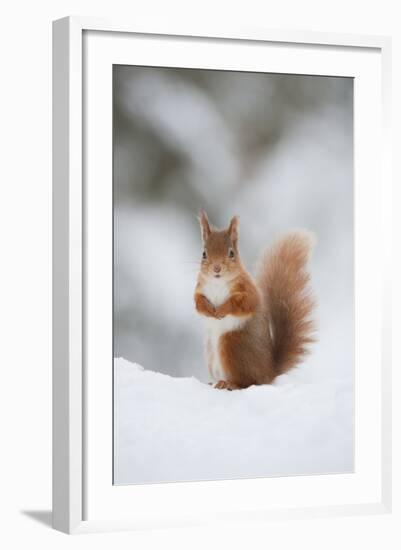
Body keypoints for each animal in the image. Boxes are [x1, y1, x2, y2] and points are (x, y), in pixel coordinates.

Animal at [194, 210, 316, 388]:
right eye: (204, 254)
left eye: (231, 253)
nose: (216, 268)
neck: (218, 282)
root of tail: (268, 373)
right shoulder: (199, 289)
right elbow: (198, 303)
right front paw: (209, 310)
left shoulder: (248, 291)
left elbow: (243, 304)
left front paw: (222, 309)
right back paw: (215, 383)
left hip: (231, 344)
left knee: (247, 382)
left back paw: (230, 384)